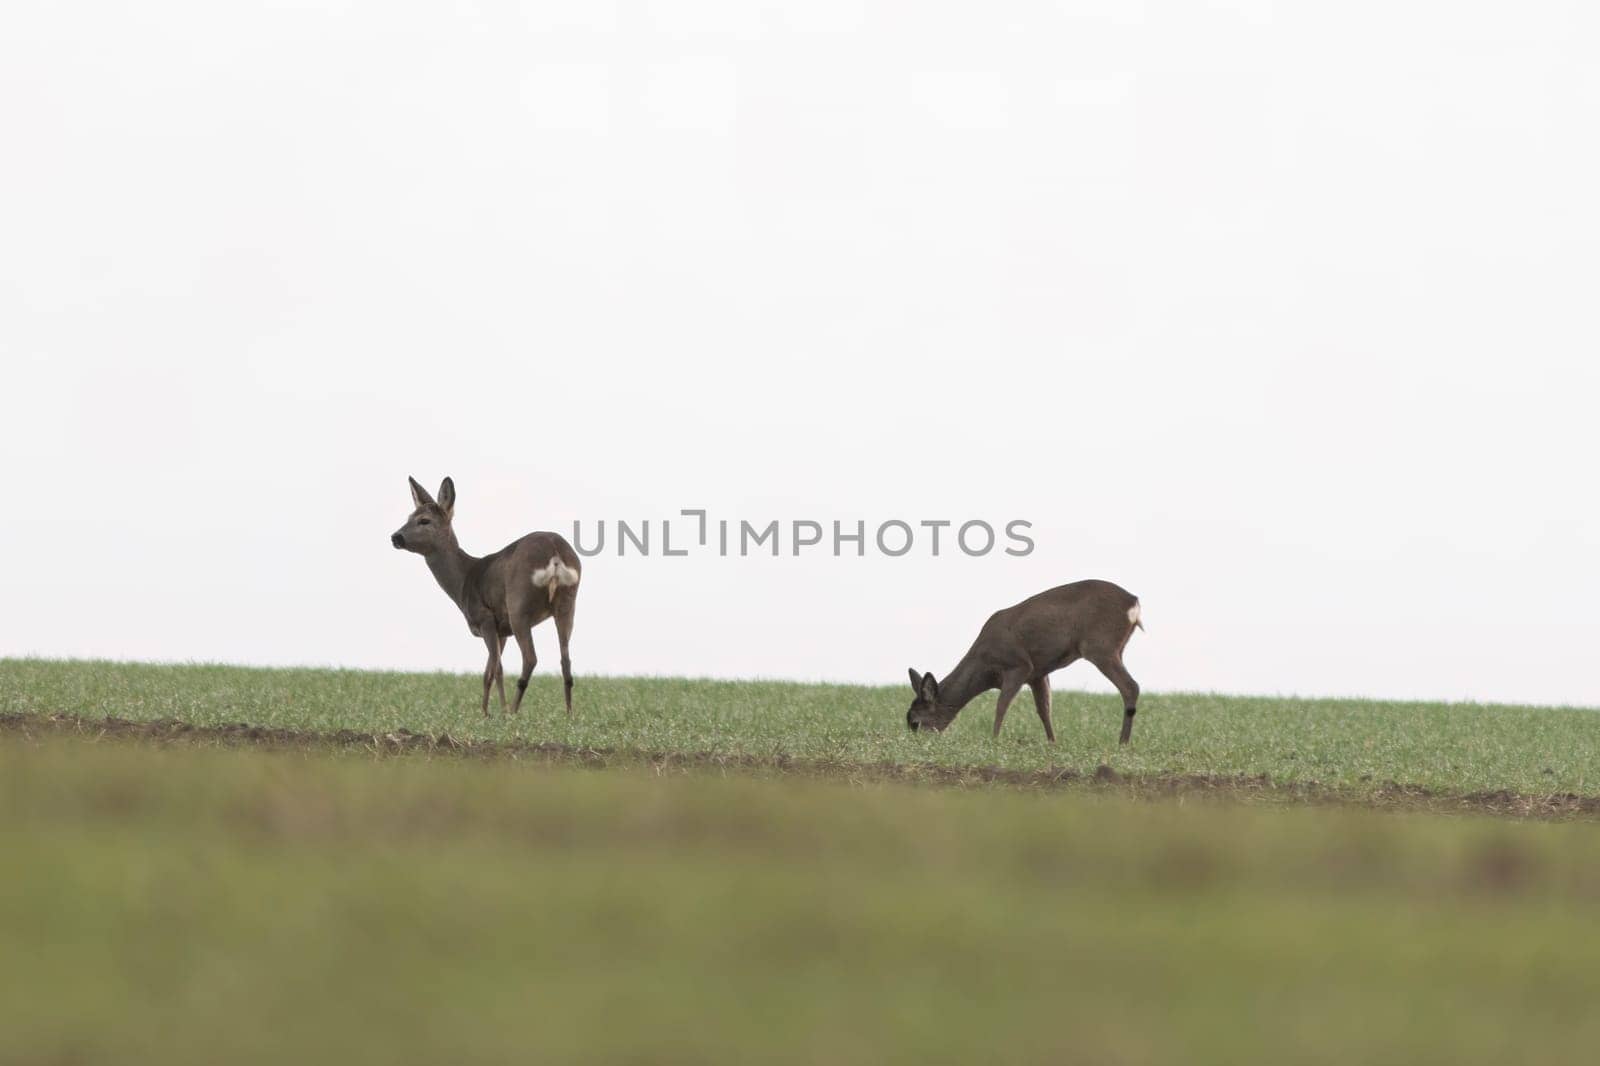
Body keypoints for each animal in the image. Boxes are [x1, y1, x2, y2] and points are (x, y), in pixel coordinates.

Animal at [388, 473, 582, 713]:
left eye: (424, 520)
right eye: (409, 516)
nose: (395, 537)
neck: (463, 581)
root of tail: (555, 553)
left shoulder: (486, 617)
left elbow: (496, 668)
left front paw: (499, 711)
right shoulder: (501, 630)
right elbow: (486, 672)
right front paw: (484, 713)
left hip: (519, 603)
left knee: (530, 658)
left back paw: (513, 711)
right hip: (567, 602)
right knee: (566, 660)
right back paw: (569, 714)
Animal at [908, 576, 1145, 742]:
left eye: (915, 722)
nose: (917, 743)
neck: (984, 668)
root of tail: (1133, 603)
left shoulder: (1019, 665)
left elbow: (1001, 705)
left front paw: (994, 740)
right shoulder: (1038, 674)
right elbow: (1044, 710)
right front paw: (1052, 743)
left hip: (1099, 646)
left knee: (1131, 686)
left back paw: (1122, 743)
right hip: (1116, 647)